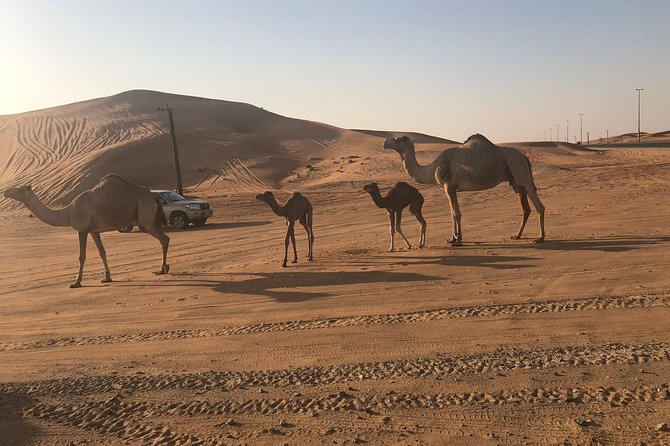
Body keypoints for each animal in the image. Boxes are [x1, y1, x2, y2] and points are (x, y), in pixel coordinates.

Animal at [3, 174, 170, 288]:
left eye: (19, 189)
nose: (5, 191)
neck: (68, 213)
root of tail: (154, 197)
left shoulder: (82, 230)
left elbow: (81, 256)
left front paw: (76, 282)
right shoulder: (93, 231)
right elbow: (102, 252)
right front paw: (107, 277)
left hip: (146, 219)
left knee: (164, 238)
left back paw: (162, 269)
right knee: (164, 238)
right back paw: (164, 268)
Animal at [383, 134, 545, 246]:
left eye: (397, 139)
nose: (385, 142)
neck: (433, 168)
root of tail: (523, 157)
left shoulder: (449, 186)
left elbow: (457, 213)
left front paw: (458, 241)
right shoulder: (448, 189)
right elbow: (452, 214)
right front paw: (451, 239)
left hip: (520, 171)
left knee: (539, 205)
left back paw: (540, 238)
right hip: (516, 181)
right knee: (525, 208)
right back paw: (517, 235)